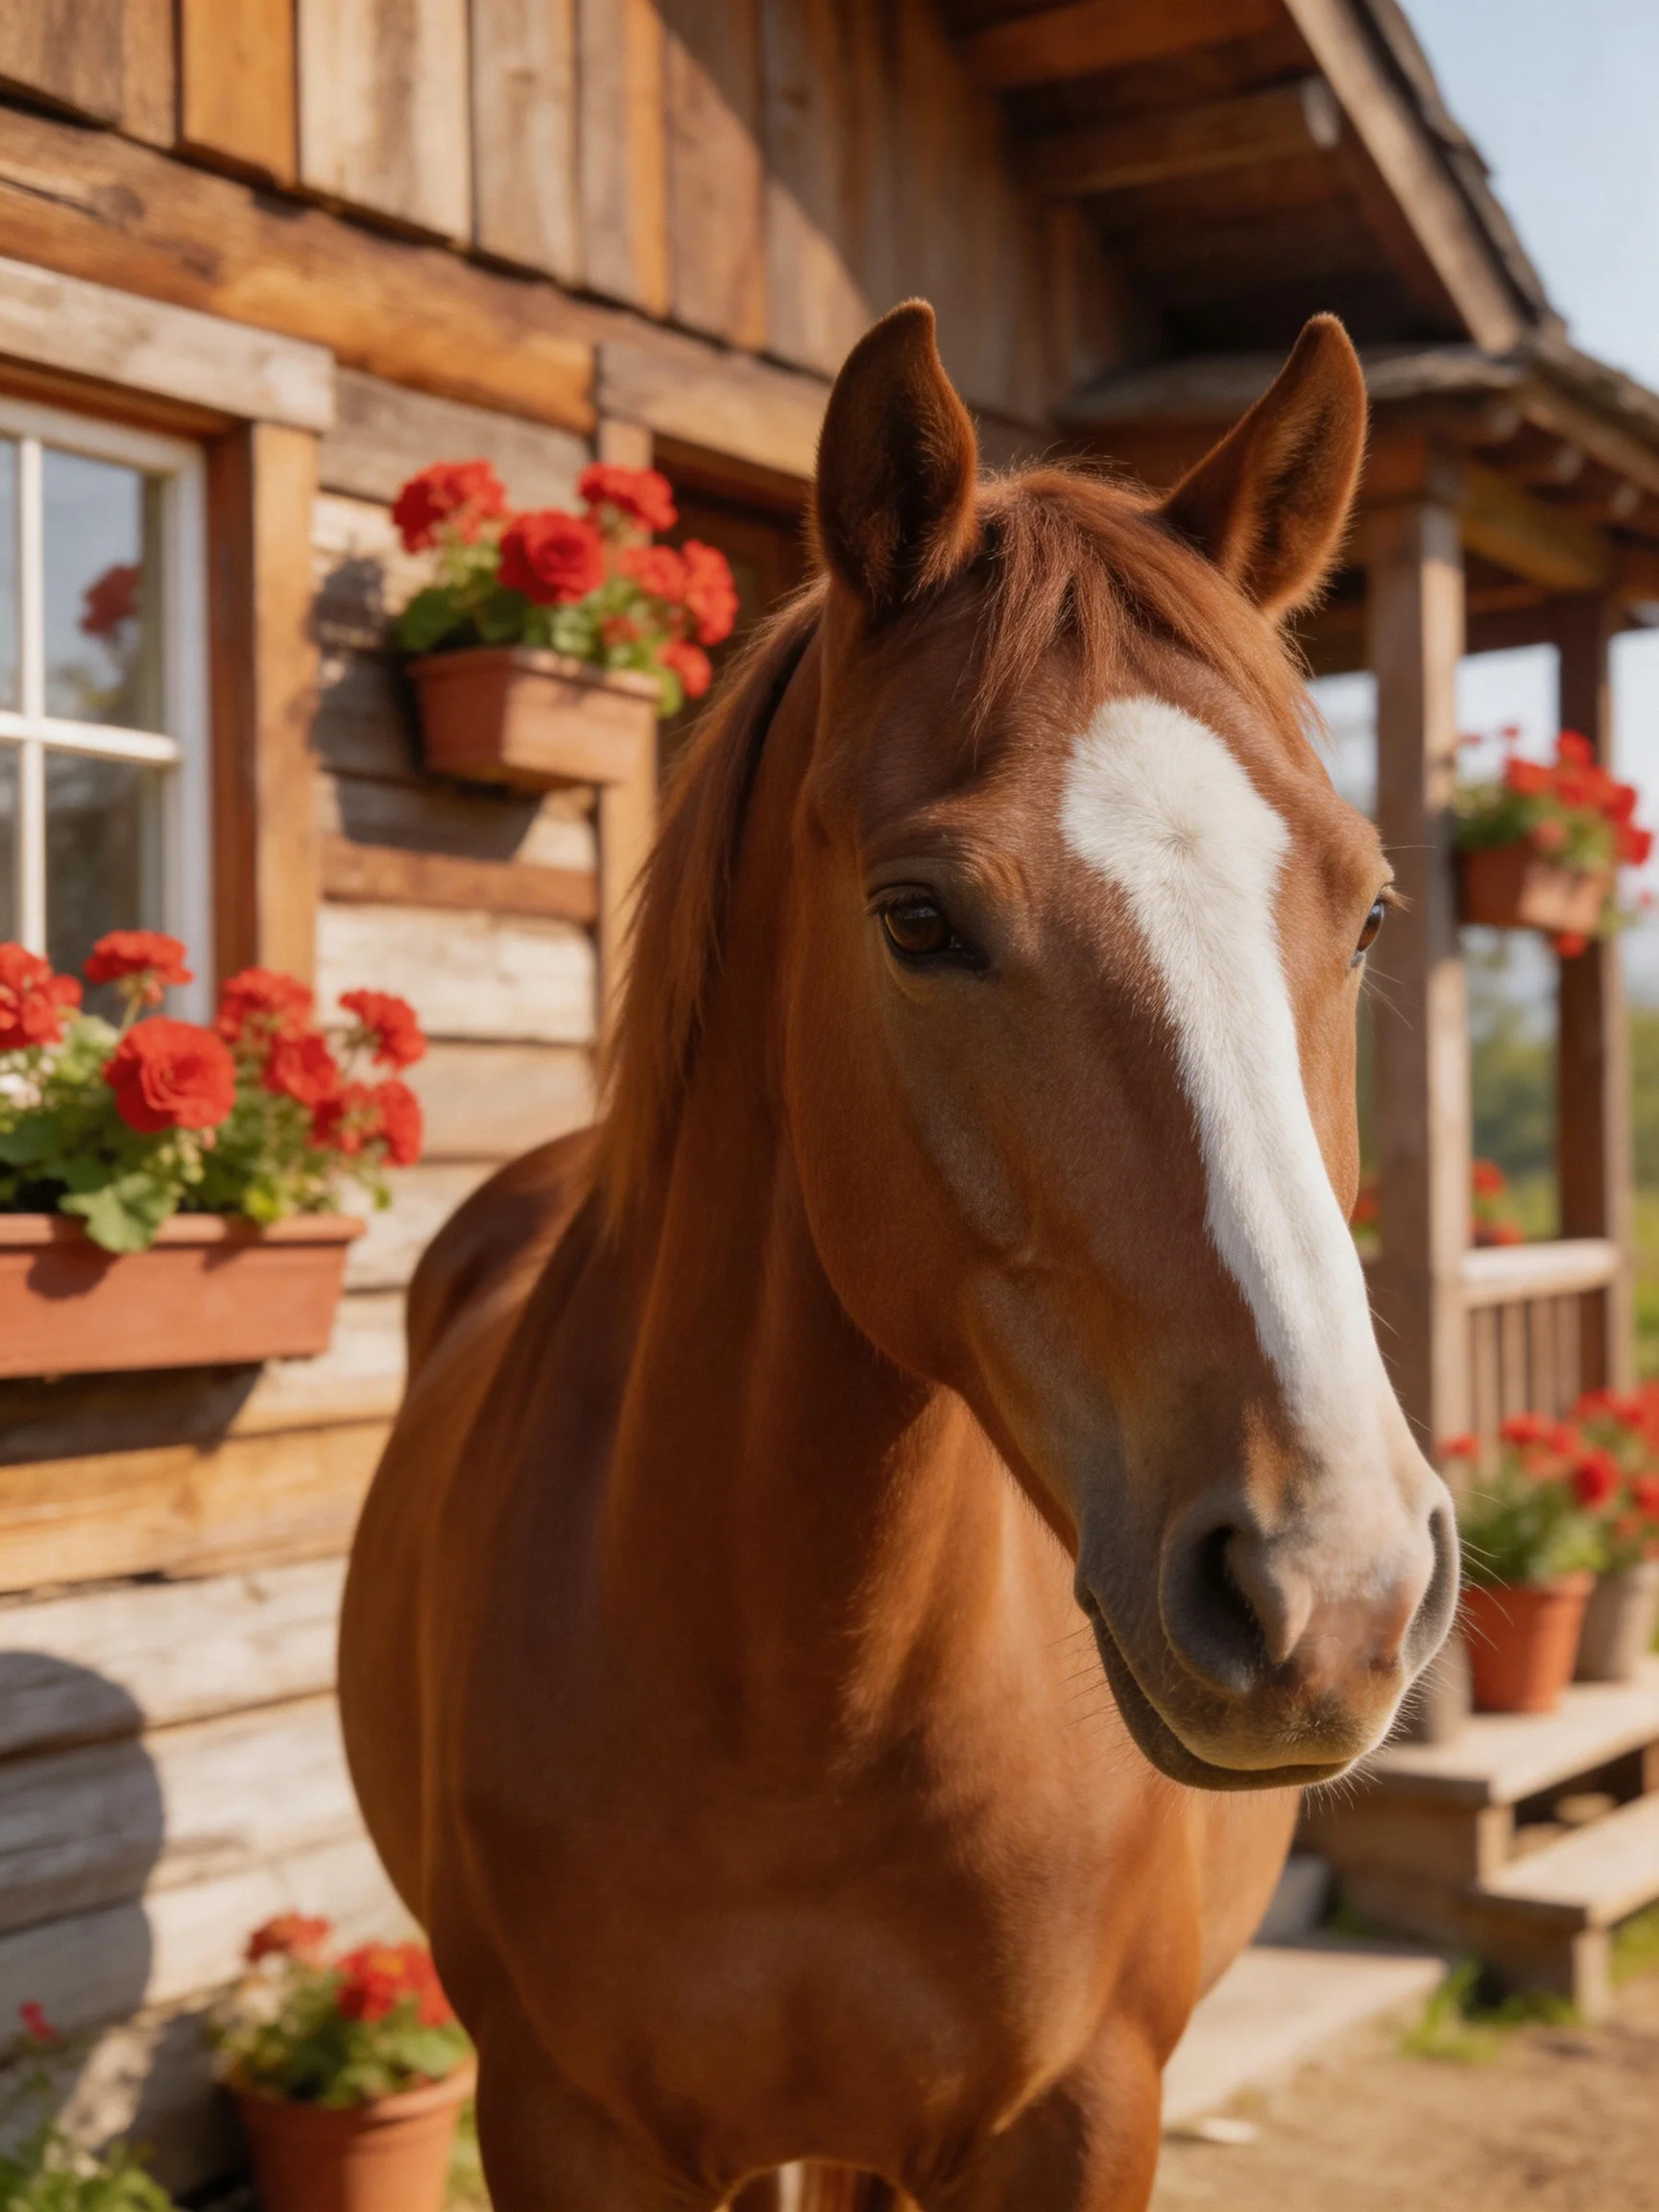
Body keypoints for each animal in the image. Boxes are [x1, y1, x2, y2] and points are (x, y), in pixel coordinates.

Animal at [339, 300, 1457, 2212]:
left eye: (1368, 907)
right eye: (918, 917)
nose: (1334, 1586)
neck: (808, 1699)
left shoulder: (1078, 2114)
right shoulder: (562, 2123)